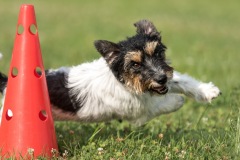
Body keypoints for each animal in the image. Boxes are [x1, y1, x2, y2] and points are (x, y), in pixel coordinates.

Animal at [0, 19, 221, 125]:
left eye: (158, 53)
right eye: (135, 64)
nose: (160, 78)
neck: (121, 80)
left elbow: (181, 81)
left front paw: (207, 91)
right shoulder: (138, 112)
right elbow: (158, 104)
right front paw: (176, 100)